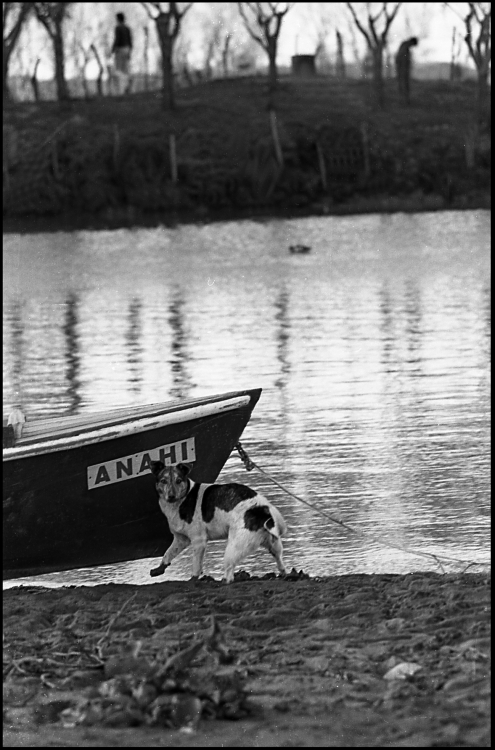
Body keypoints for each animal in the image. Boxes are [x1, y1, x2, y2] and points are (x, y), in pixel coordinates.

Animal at [149, 462, 286, 584]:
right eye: (163, 481)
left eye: (178, 480)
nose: (171, 496)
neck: (184, 498)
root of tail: (262, 510)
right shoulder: (181, 539)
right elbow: (168, 553)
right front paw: (160, 568)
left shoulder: (199, 541)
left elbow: (196, 566)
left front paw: (193, 578)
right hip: (272, 544)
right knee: (279, 560)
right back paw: (283, 573)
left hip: (234, 547)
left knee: (229, 571)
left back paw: (224, 580)